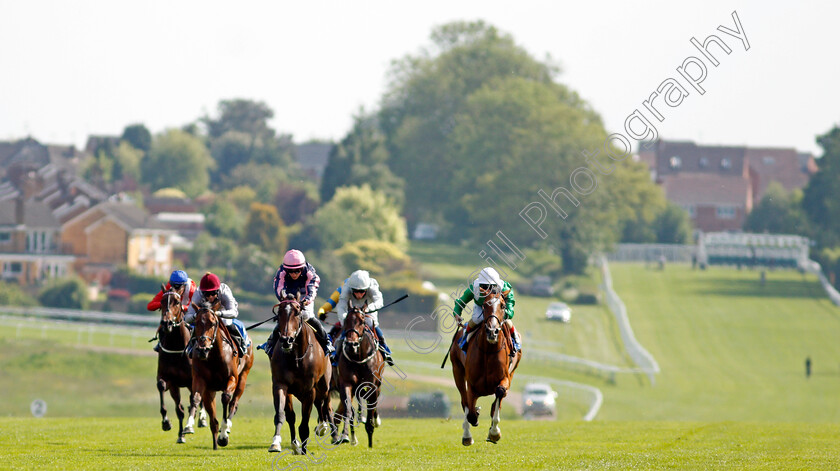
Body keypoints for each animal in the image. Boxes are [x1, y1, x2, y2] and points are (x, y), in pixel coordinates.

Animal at [189, 300, 254, 452]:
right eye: (196, 322)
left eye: (213, 323)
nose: (203, 349)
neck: (214, 356)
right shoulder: (203, 382)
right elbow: (196, 399)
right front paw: (188, 426)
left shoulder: (232, 378)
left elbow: (225, 398)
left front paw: (223, 436)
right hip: (211, 390)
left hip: (243, 376)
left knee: (233, 403)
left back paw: (227, 428)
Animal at [270, 294, 334, 456]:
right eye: (279, 313)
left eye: (297, 312)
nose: (286, 340)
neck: (296, 357)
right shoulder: (281, 385)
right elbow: (283, 415)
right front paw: (277, 443)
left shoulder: (309, 390)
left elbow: (305, 423)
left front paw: (304, 450)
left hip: (323, 385)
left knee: (323, 403)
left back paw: (323, 427)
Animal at [334, 302, 388, 450]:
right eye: (346, 320)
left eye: (362, 321)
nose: (351, 344)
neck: (358, 357)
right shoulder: (346, 384)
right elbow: (348, 411)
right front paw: (347, 437)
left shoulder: (372, 386)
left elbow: (370, 412)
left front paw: (370, 442)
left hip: (378, 385)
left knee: (374, 405)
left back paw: (376, 420)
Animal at [450, 292, 520, 446]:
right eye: (484, 305)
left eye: (503, 306)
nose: (492, 331)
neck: (488, 351)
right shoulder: (471, 384)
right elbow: (469, 410)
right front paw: (474, 418)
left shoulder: (505, 378)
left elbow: (499, 393)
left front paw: (494, 432)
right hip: (457, 370)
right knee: (464, 401)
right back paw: (467, 435)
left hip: (512, 371)